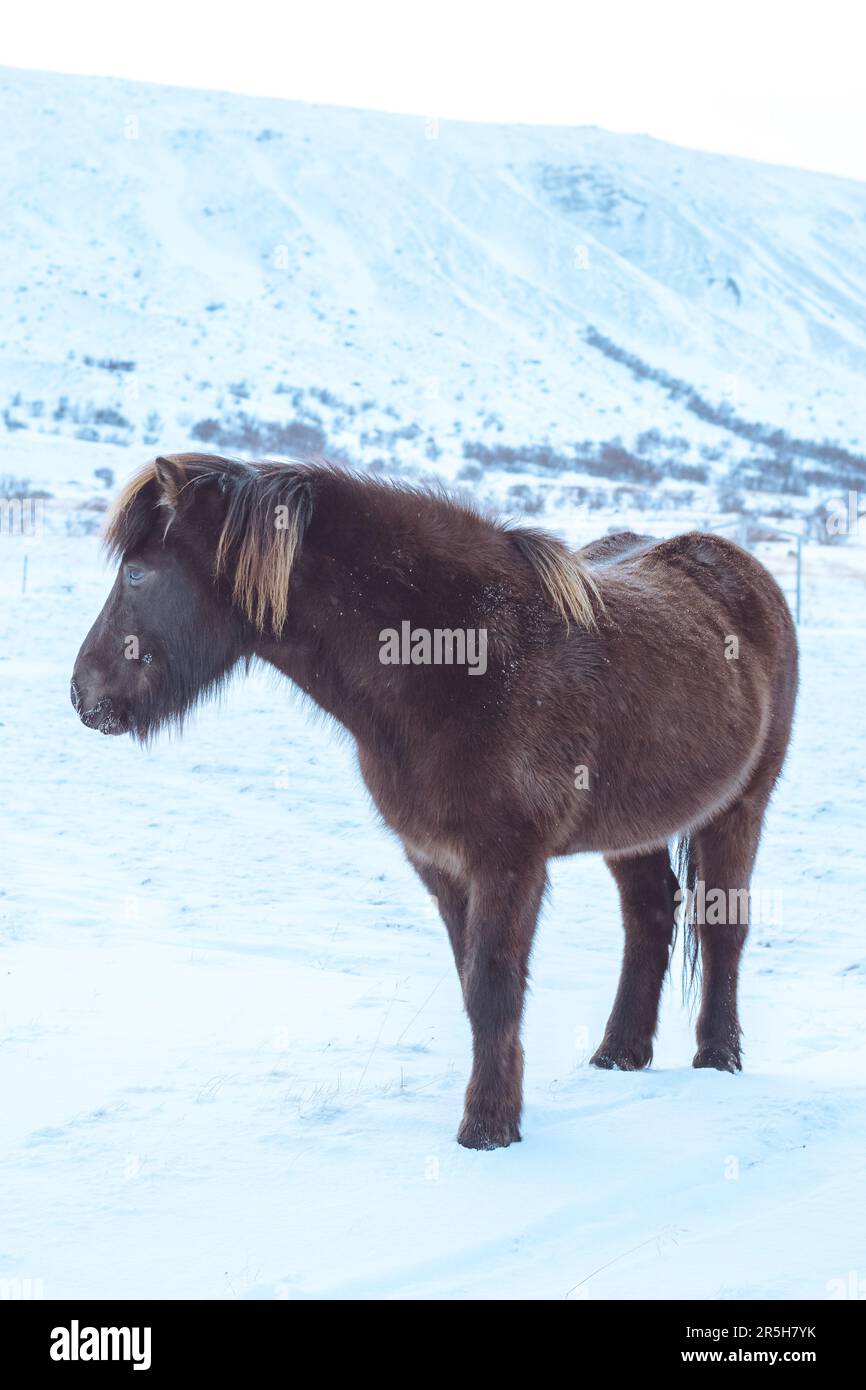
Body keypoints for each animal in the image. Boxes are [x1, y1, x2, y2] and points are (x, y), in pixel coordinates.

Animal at [71, 453, 798, 1149]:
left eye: (136, 574)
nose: (83, 695)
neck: (457, 659)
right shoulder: (440, 864)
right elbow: (472, 984)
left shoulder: (508, 863)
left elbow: (494, 987)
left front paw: (488, 1130)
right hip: (634, 827)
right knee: (649, 914)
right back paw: (619, 1054)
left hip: (740, 809)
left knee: (722, 925)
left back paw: (718, 1057)